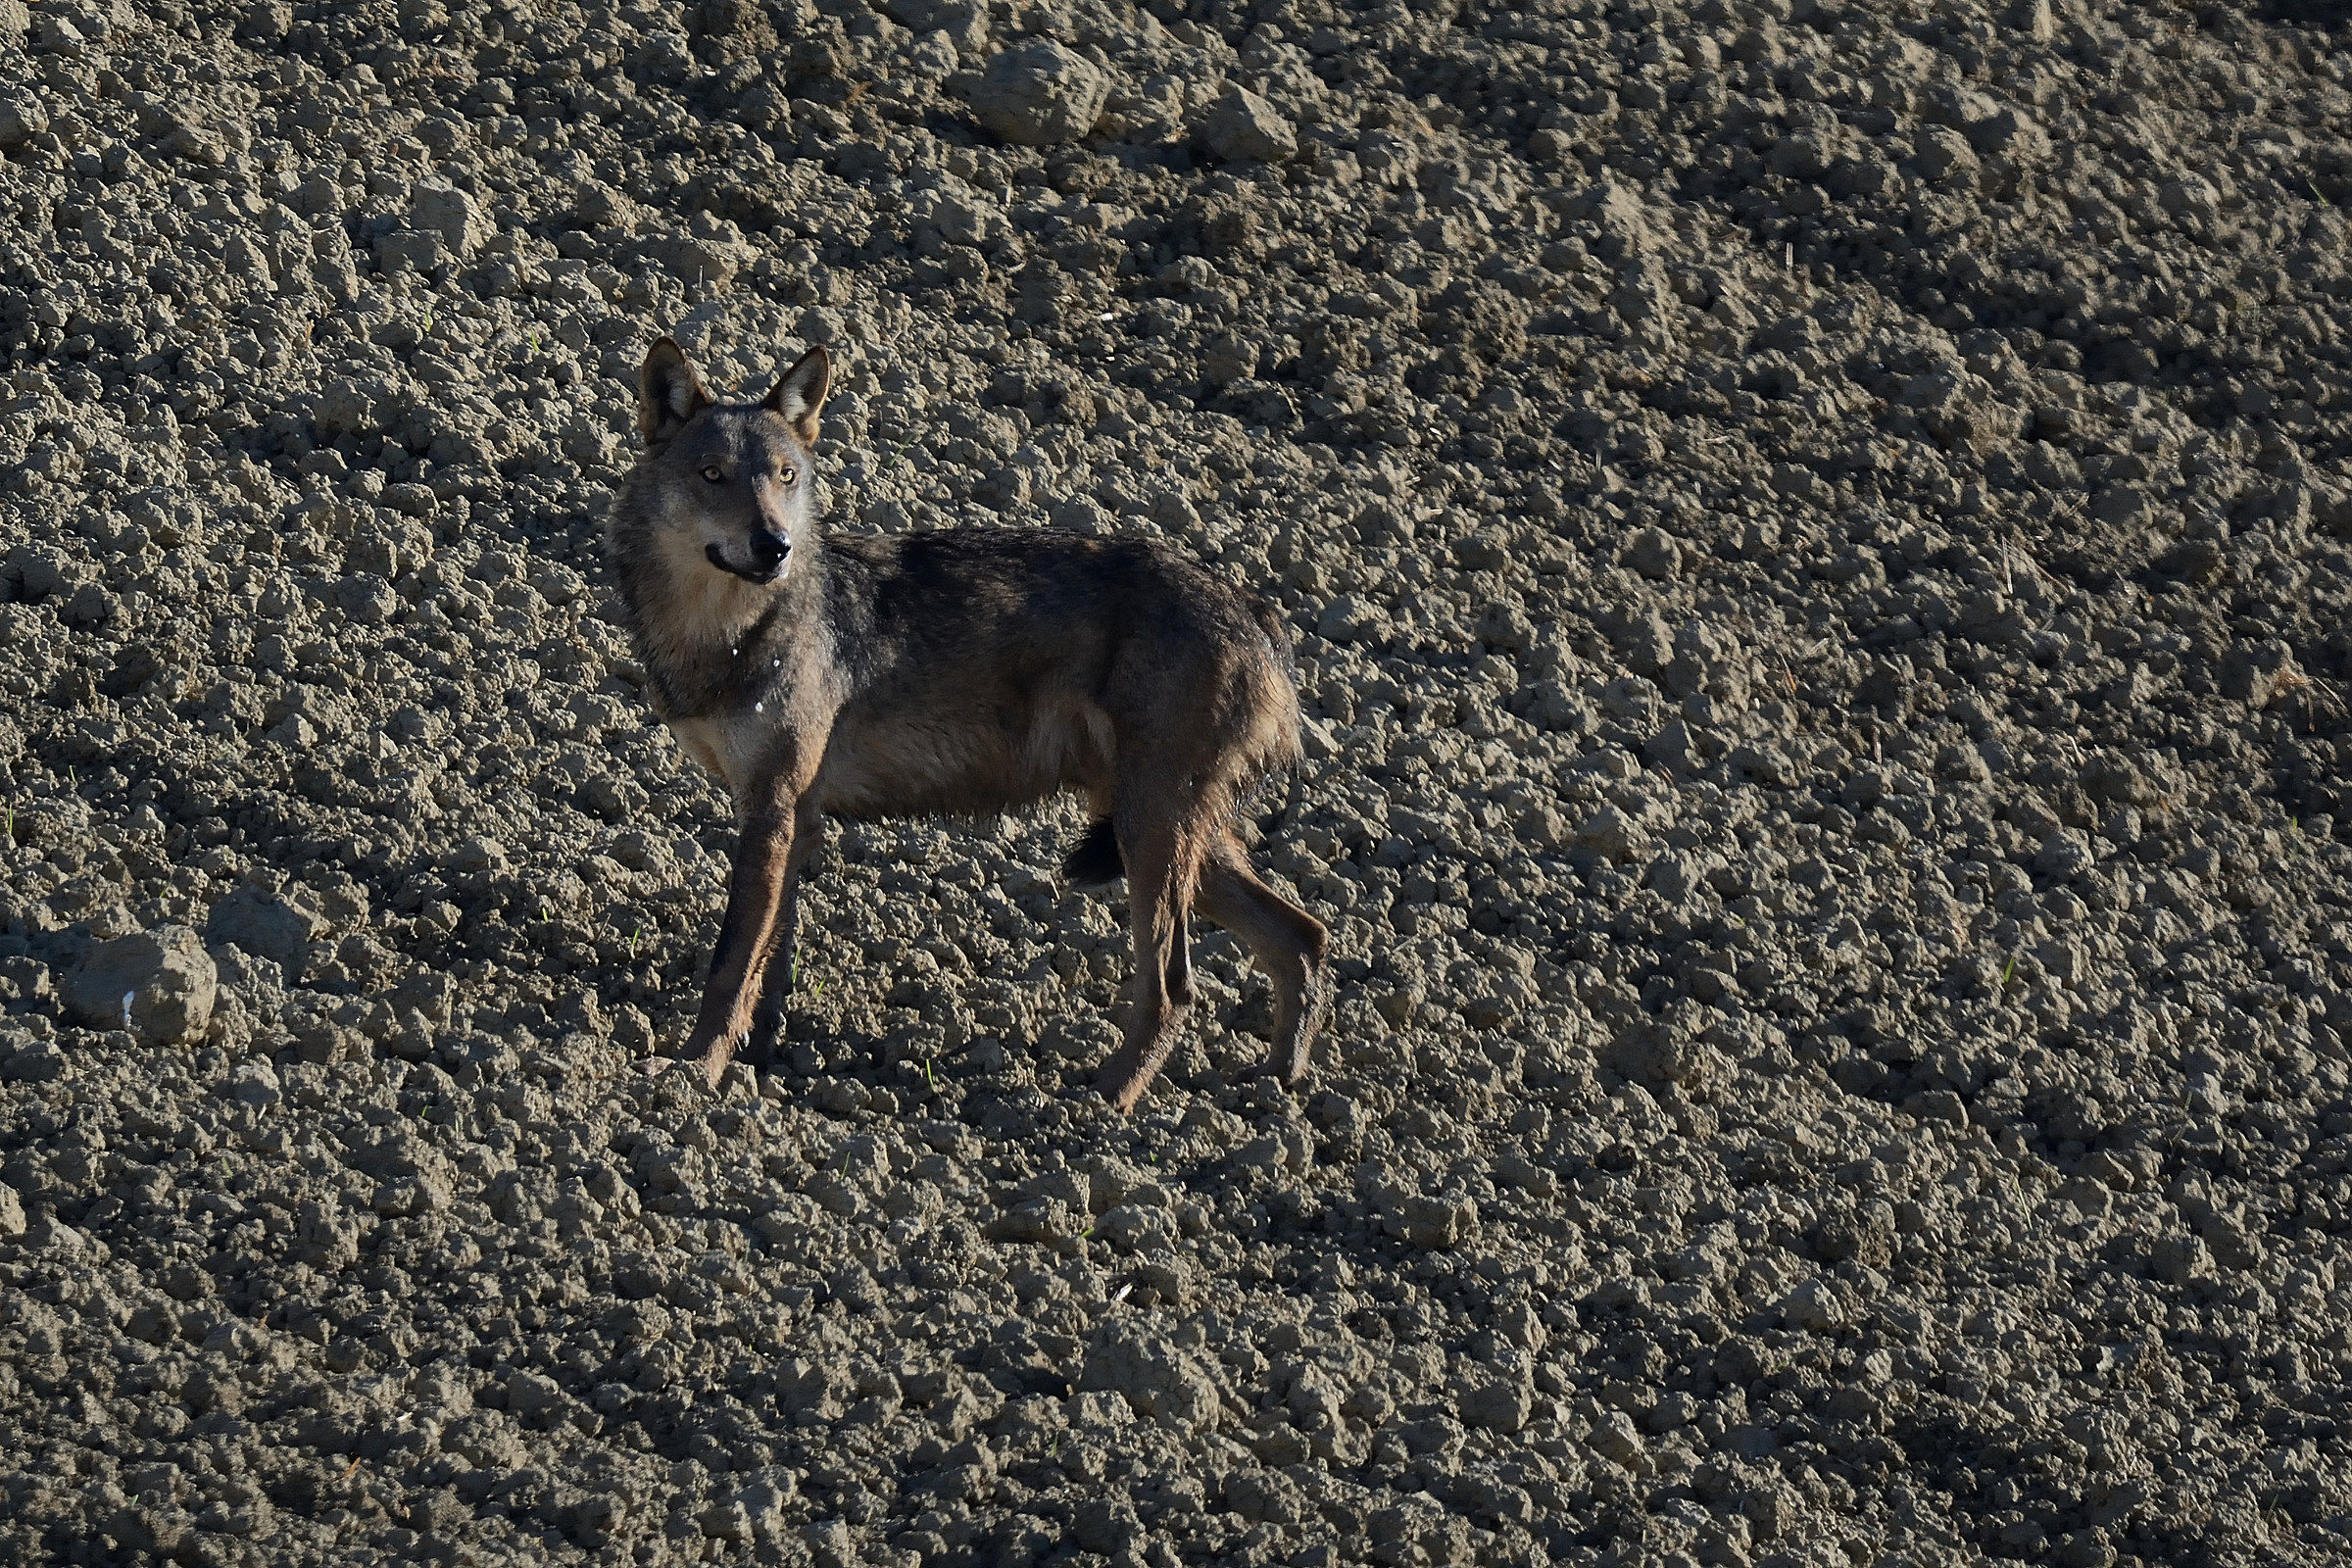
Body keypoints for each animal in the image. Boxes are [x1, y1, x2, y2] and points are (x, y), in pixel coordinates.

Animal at [603, 337, 1330, 1112]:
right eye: (712, 476)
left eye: (784, 477)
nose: (774, 545)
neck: (728, 634)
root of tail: (1254, 605)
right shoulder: (796, 818)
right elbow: (768, 964)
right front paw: (757, 1060)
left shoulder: (771, 809)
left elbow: (729, 962)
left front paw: (692, 1071)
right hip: (1167, 836)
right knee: (1304, 935)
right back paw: (1277, 1084)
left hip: (1149, 836)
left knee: (1175, 988)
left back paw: (1100, 1101)